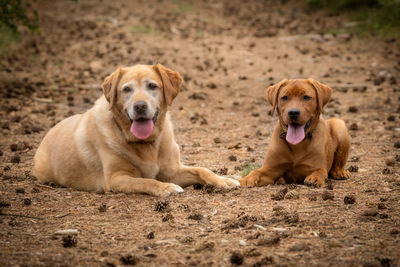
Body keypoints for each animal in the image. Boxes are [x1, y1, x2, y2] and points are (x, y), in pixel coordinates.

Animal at [33, 63, 238, 197]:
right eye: (126, 89)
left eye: (152, 86)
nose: (139, 106)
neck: (147, 144)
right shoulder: (116, 178)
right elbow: (146, 180)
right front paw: (166, 188)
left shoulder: (172, 171)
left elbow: (202, 170)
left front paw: (224, 180)